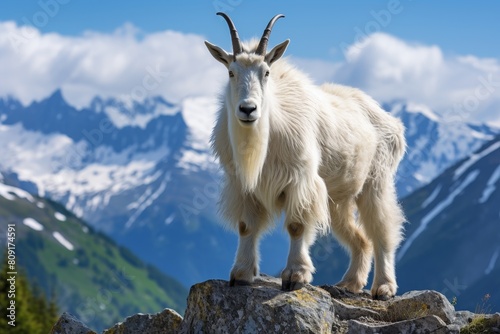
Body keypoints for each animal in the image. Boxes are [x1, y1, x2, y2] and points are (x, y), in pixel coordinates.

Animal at [205, 13, 404, 300]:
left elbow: (297, 225)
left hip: (376, 182)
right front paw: (241, 274)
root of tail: (392, 122)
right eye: (231, 72)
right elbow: (246, 226)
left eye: (266, 73)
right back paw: (350, 283)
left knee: (382, 229)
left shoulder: (300, 180)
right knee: (360, 238)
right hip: (338, 200)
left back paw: (384, 288)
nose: (248, 109)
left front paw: (295, 276)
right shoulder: (243, 185)